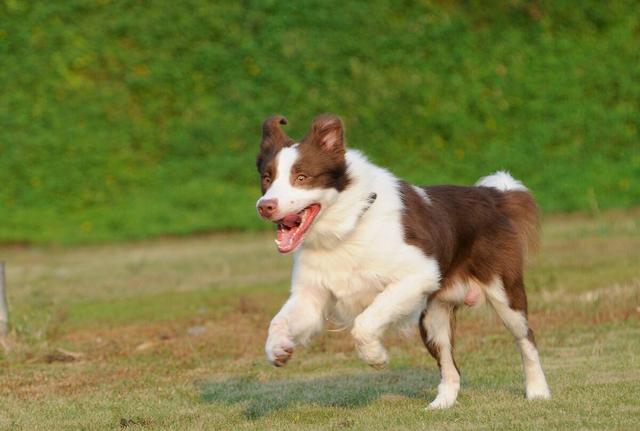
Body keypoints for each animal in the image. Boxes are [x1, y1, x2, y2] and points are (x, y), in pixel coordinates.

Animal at [255, 114, 552, 408]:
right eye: (267, 178)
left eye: (302, 177)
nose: (264, 206)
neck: (346, 227)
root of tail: (493, 196)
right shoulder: (312, 294)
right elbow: (278, 321)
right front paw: (278, 350)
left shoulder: (418, 274)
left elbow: (365, 322)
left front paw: (376, 357)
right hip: (433, 317)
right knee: (450, 365)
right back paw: (441, 404)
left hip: (503, 291)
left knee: (526, 337)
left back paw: (538, 391)